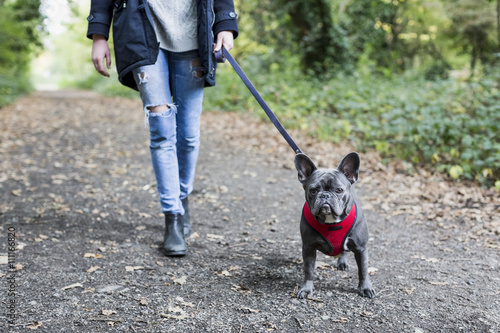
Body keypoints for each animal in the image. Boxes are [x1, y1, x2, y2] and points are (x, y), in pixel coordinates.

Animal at [292, 152, 376, 296]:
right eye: (313, 190)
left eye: (339, 190)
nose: (325, 195)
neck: (331, 221)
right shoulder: (309, 247)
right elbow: (308, 270)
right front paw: (307, 289)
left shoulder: (361, 248)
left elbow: (363, 270)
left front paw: (365, 288)